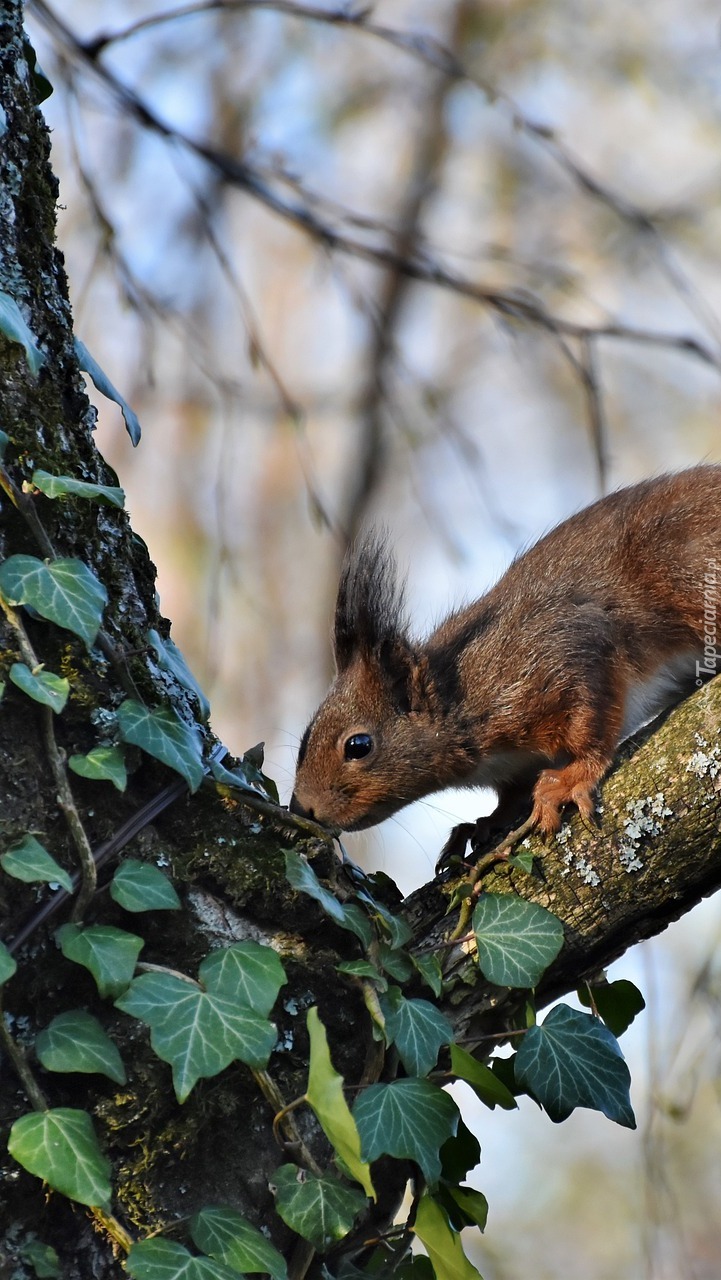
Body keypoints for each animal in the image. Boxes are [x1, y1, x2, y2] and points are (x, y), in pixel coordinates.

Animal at [289, 468, 721, 849]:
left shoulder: (560, 656)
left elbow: (593, 725)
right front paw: (484, 823)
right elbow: (509, 797)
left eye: (358, 745)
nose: (302, 809)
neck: (460, 695)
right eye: (304, 740)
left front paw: (571, 778)